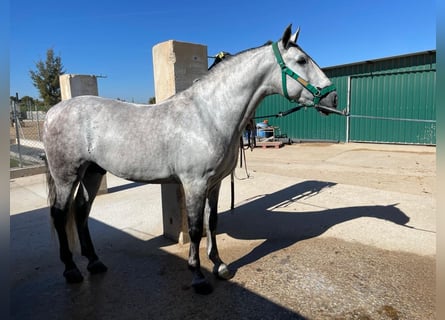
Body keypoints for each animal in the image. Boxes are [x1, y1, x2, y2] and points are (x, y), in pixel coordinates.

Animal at [44, 25, 336, 294]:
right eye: (301, 61)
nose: (332, 97)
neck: (208, 115)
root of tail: (52, 112)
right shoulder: (195, 184)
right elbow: (195, 228)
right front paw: (198, 275)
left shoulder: (215, 183)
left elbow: (212, 222)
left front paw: (219, 265)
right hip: (66, 176)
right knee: (59, 214)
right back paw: (71, 270)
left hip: (92, 172)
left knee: (81, 210)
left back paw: (94, 262)